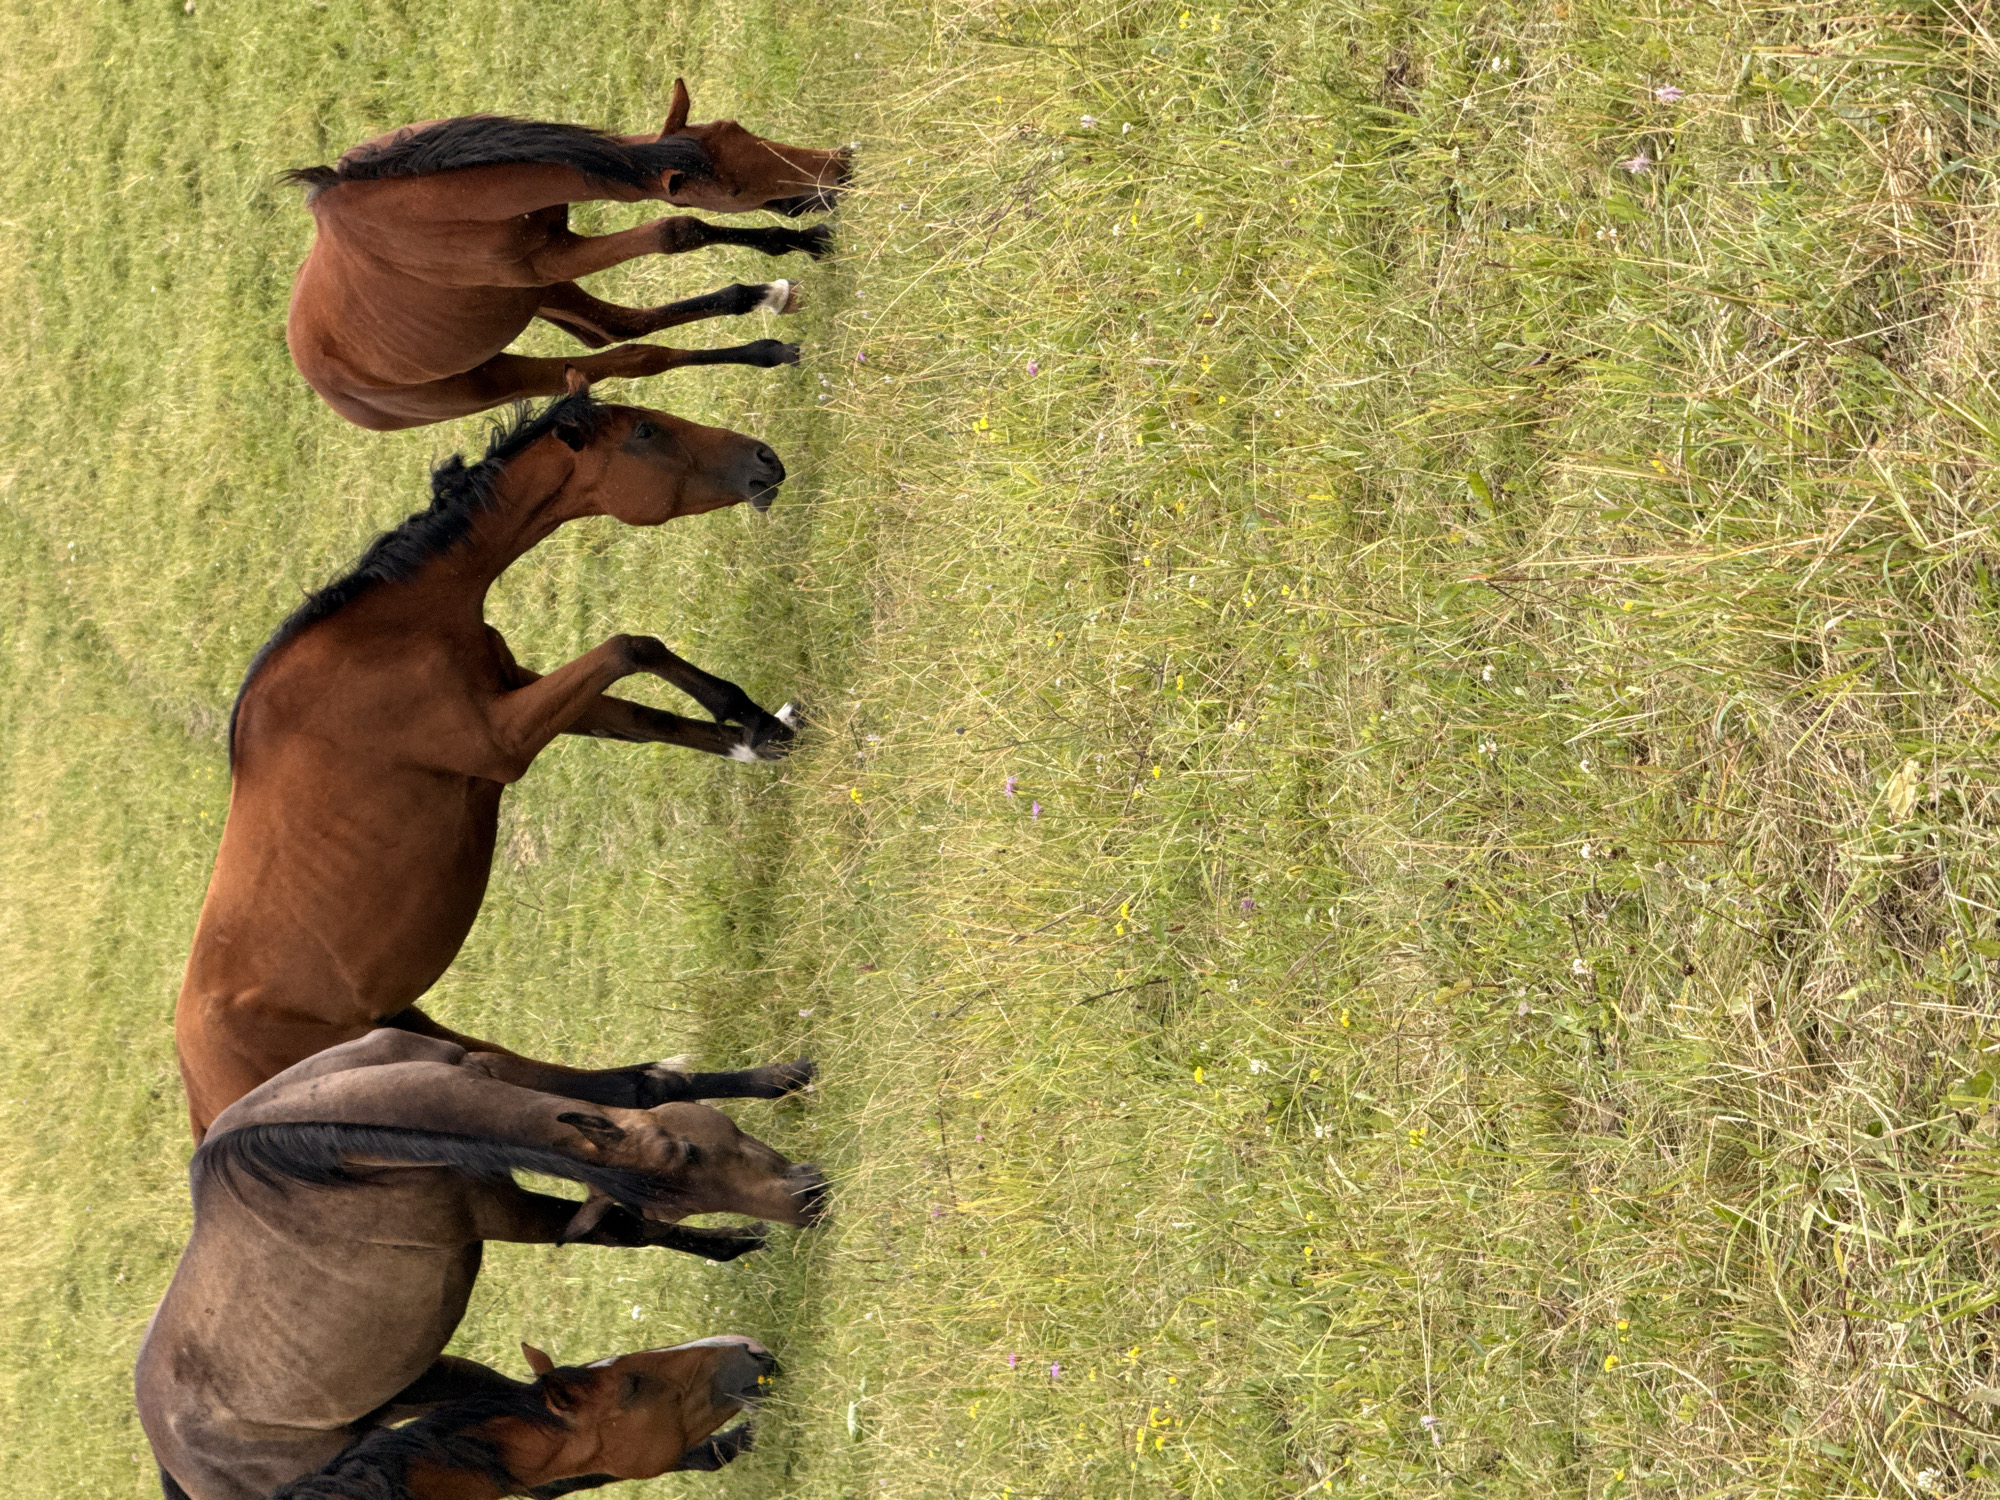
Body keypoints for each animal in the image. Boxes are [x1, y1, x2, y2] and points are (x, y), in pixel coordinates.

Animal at [139, 1030, 826, 1500]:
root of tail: (178, 1467)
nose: (809, 1198)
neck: (326, 1143)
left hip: (442, 1382)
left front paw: (786, 1077)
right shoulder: (503, 1213)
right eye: (687, 1150)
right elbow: (626, 1231)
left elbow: (642, 1091)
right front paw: (741, 1242)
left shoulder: (486, 1067)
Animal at [175, 382, 804, 1140]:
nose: (763, 458)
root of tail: (209, 1110)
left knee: (614, 1084)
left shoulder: (525, 692)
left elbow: (648, 713)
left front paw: (765, 732)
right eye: (646, 433)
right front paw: (755, 722)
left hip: (412, 1026)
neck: (392, 632)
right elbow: (630, 648)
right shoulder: (505, 739)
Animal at [283, 80, 850, 429]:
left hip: (535, 299)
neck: (427, 204)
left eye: (739, 127)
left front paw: (807, 242)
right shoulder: (553, 259)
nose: (838, 169)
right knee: (629, 359)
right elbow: (676, 230)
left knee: (612, 329)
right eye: (733, 192)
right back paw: (765, 342)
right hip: (499, 372)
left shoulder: (551, 254)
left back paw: (762, 305)